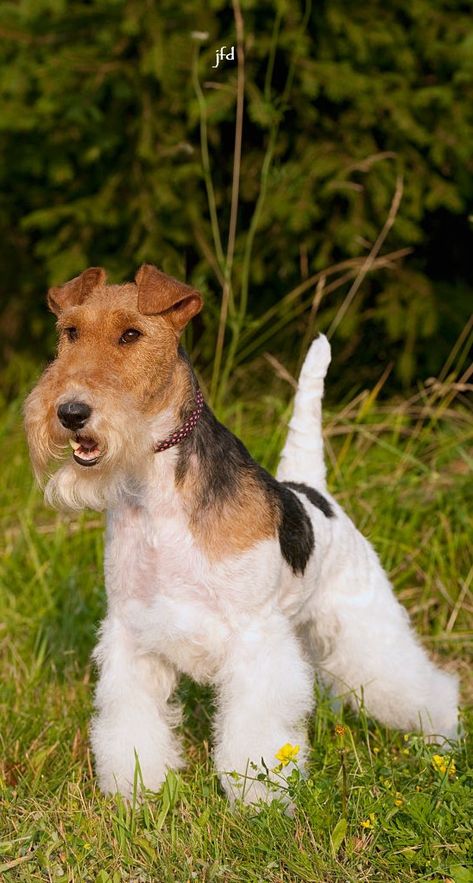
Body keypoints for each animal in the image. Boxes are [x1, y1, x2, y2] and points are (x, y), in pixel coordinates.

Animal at [24, 266, 460, 804]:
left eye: (130, 334)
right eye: (70, 332)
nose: (70, 412)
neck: (158, 490)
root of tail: (312, 491)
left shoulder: (255, 637)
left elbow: (256, 730)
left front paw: (260, 799)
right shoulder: (132, 633)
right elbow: (132, 725)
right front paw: (136, 791)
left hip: (364, 626)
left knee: (423, 683)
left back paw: (442, 736)